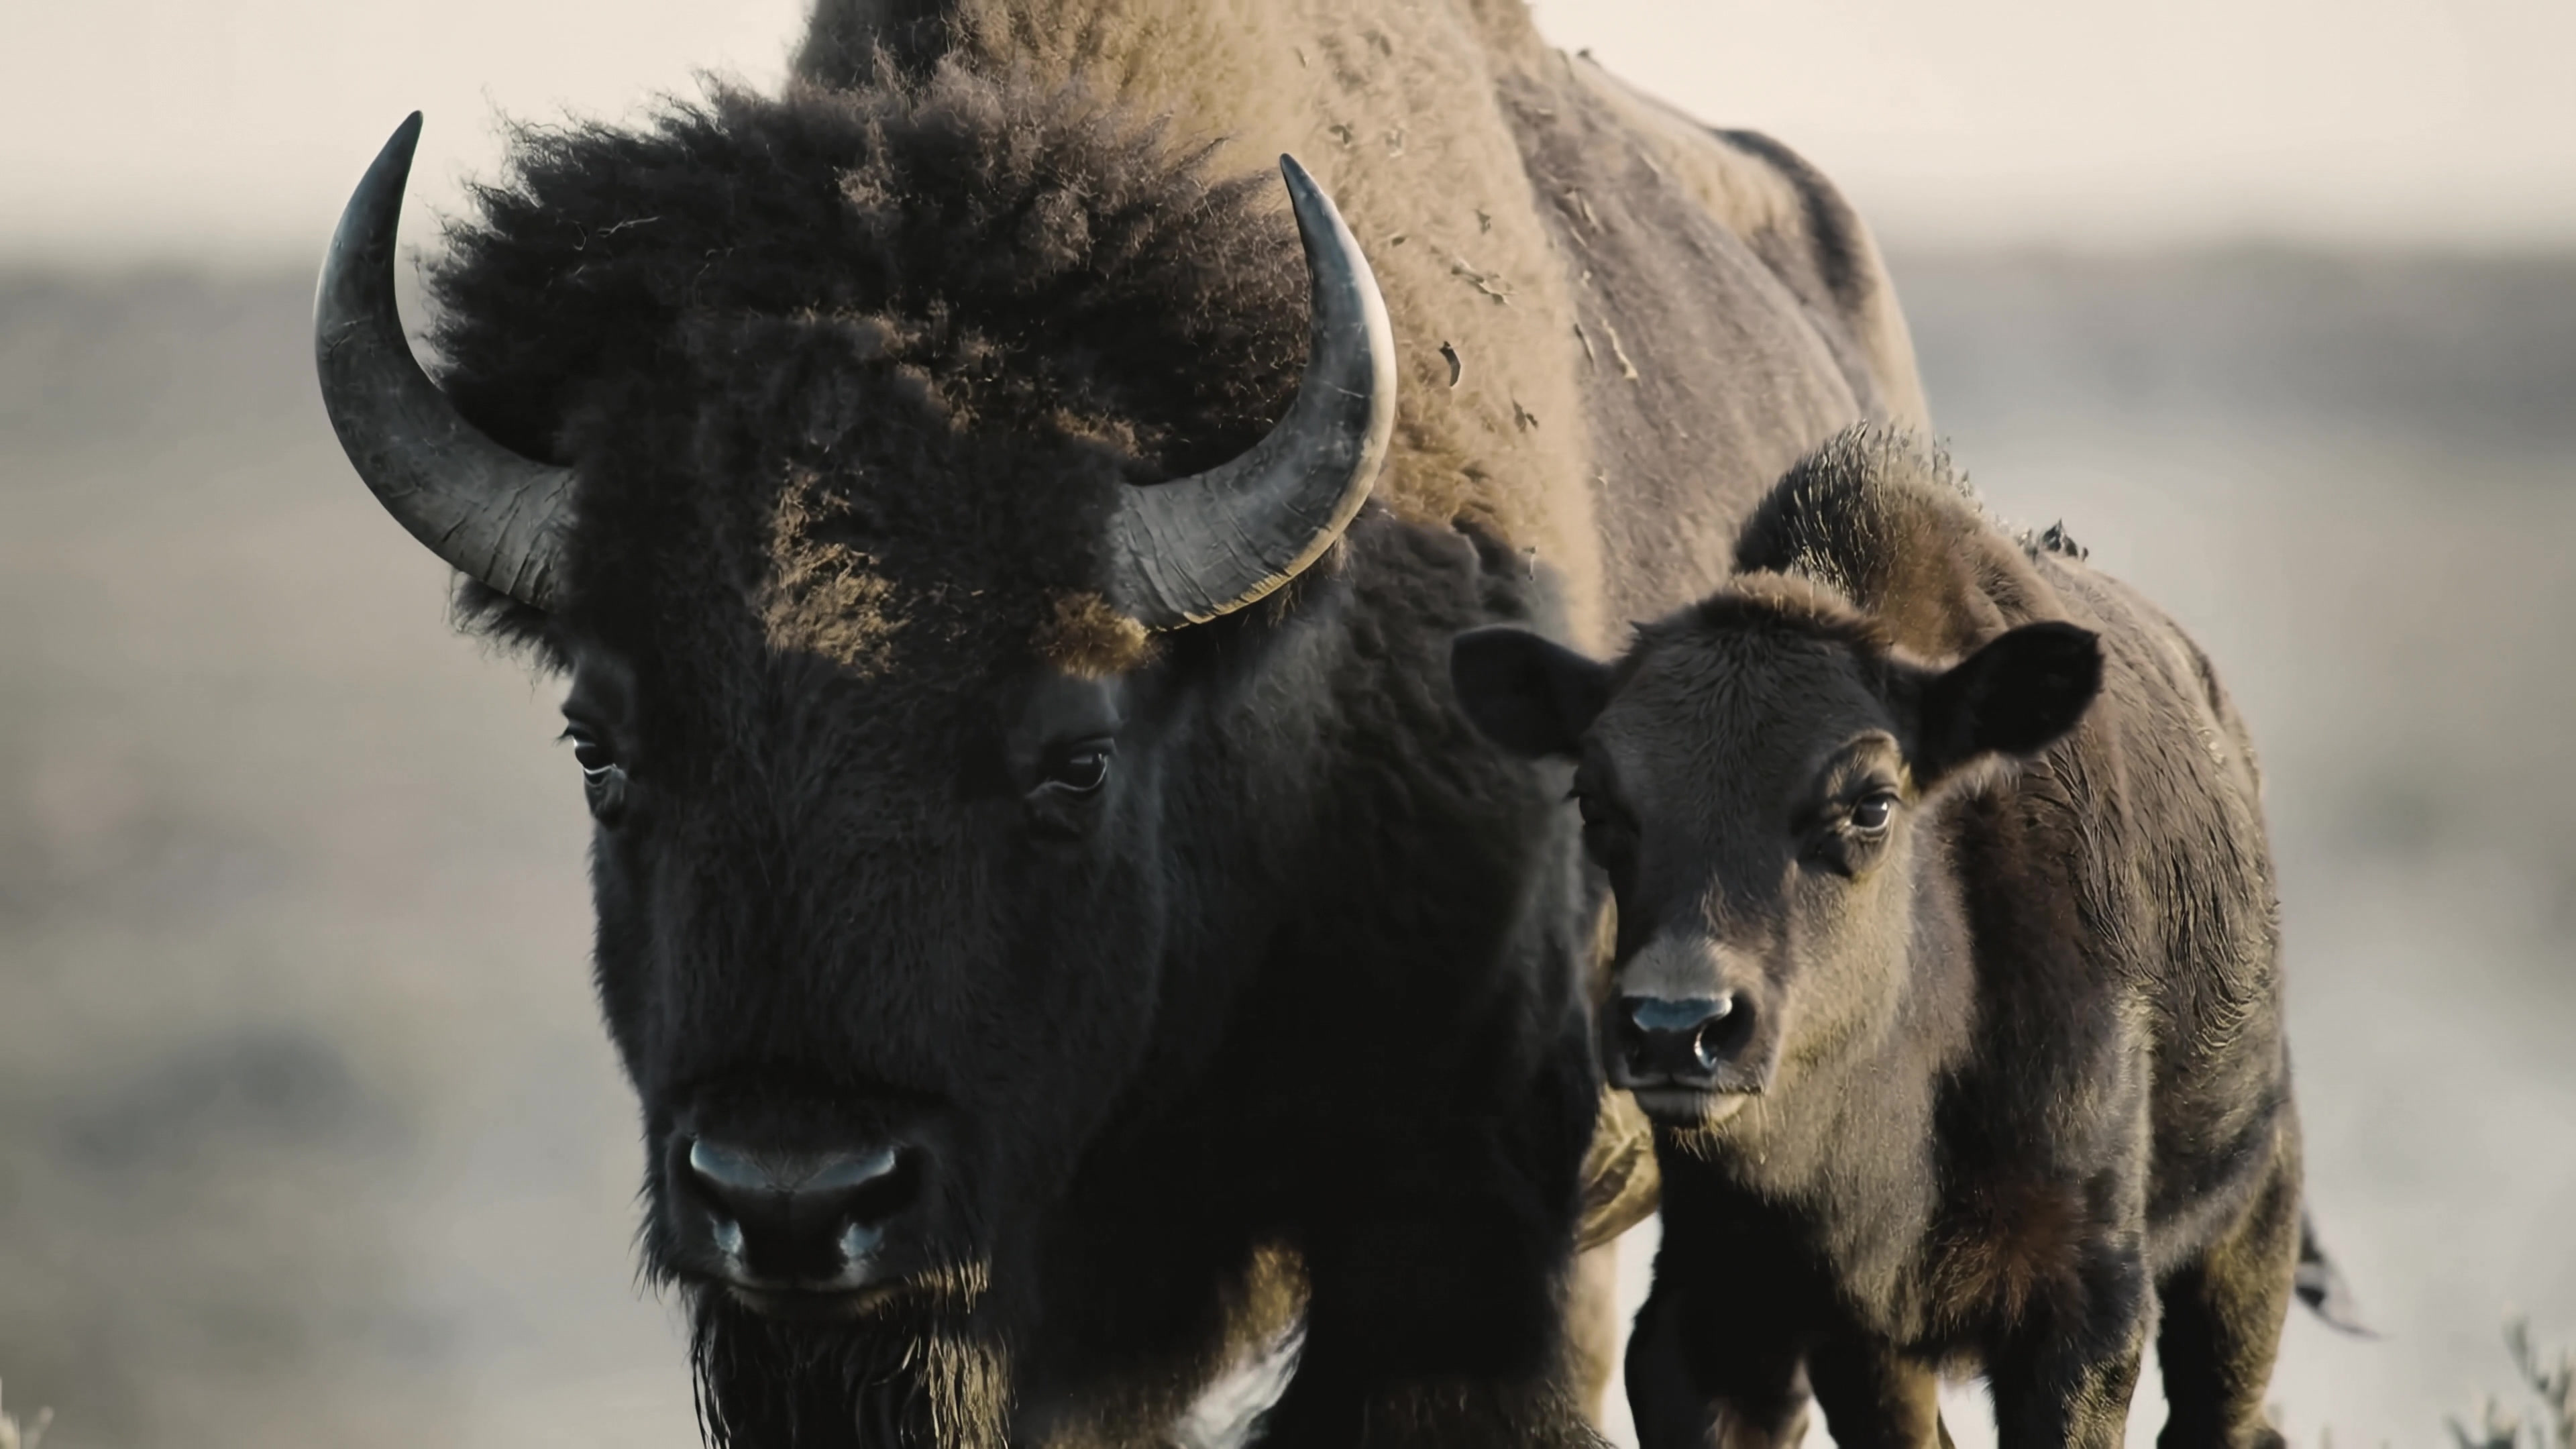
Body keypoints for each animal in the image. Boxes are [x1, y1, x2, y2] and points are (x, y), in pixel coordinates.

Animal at [1452, 427, 2355, 1449]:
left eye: (1871, 803)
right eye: (1595, 800)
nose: (1677, 1028)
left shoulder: (2084, 1310)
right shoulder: (1733, 1306)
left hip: (2250, 1226)